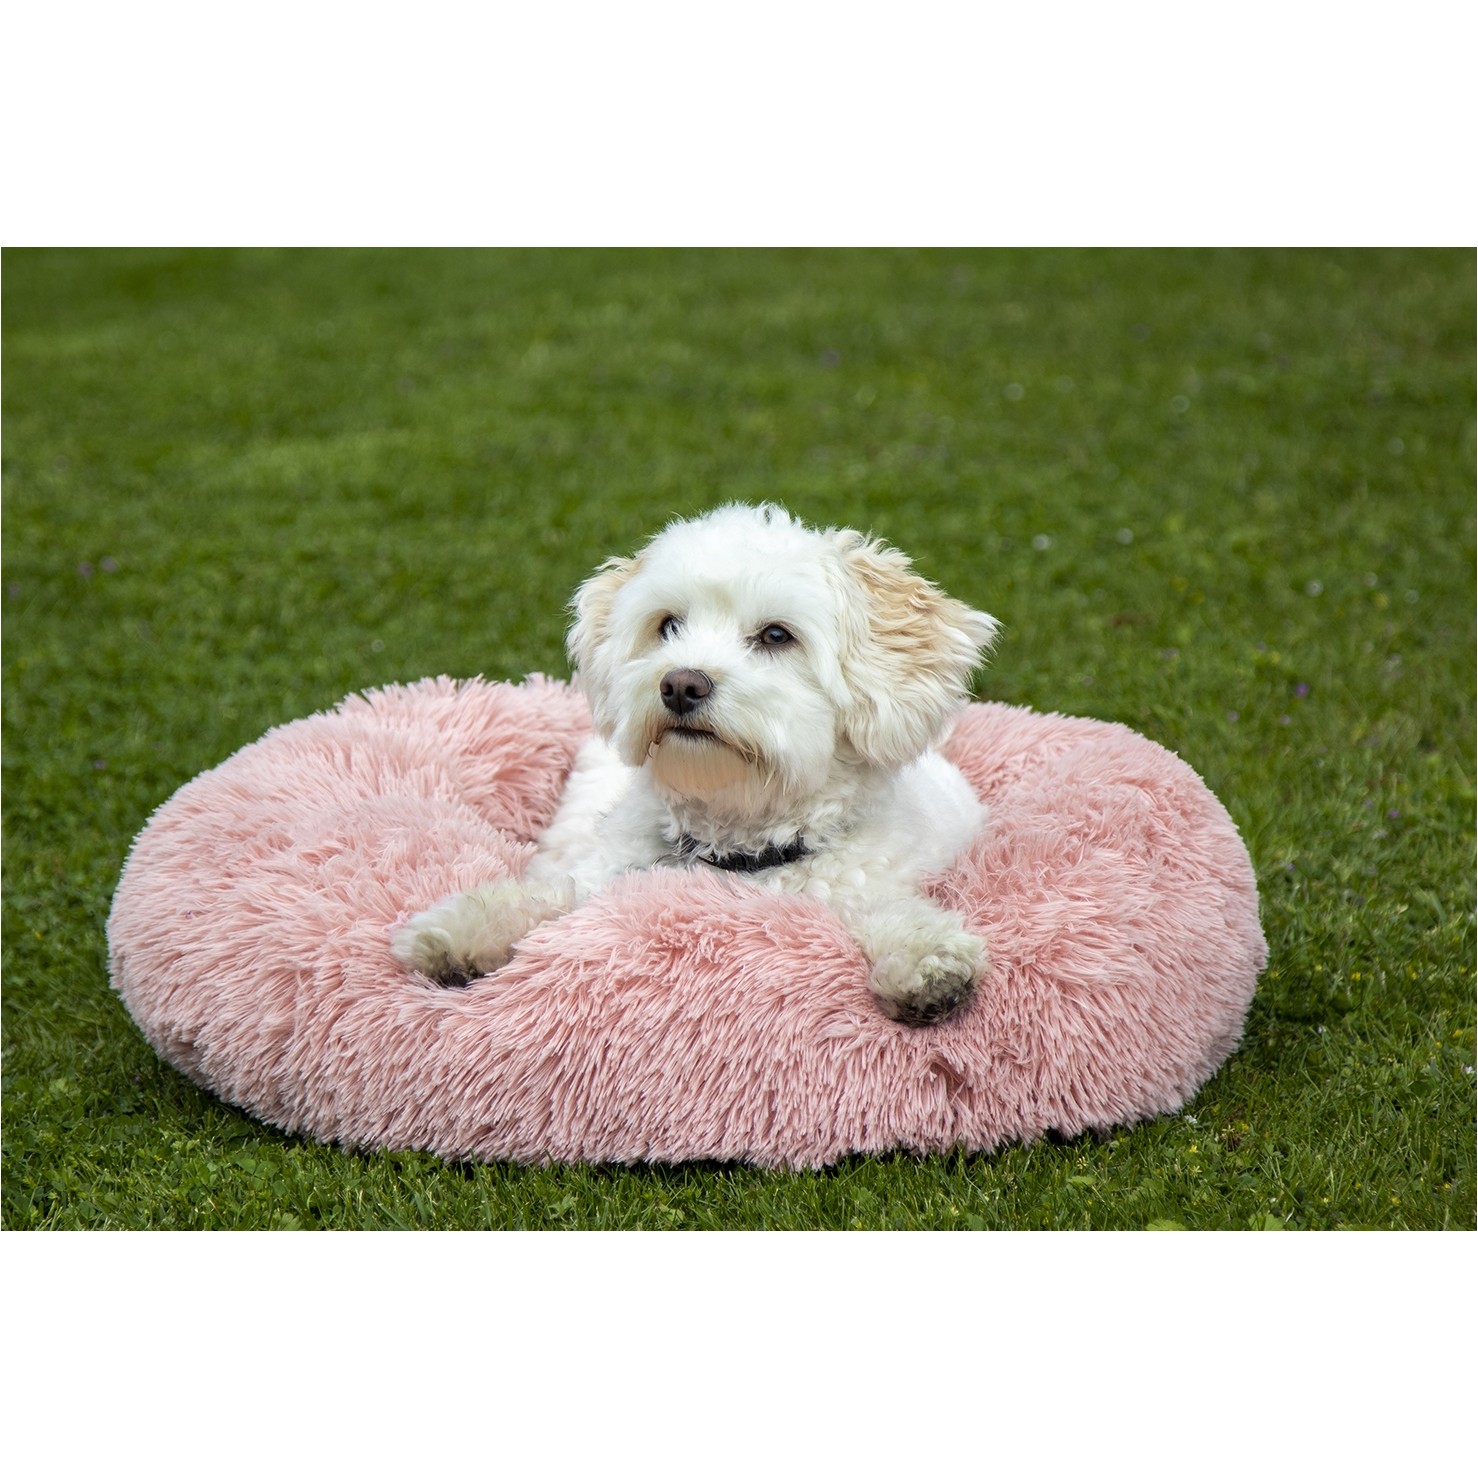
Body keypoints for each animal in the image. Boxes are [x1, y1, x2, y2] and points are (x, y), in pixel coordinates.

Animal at [392, 503, 999, 1025]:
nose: (681, 684)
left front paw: (928, 963)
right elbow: (551, 894)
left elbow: (890, 914)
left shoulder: (860, 887)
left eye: (776, 635)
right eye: (667, 625)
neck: (737, 845)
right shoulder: (602, 877)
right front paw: (462, 930)